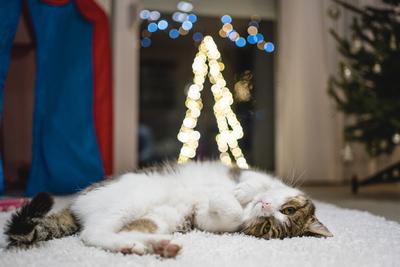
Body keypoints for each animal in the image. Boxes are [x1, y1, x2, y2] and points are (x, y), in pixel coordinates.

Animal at [4, 161, 332, 258]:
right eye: (288, 210)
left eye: (267, 227)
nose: (265, 207)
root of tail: (75, 205)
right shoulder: (247, 172)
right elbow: (249, 183)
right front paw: (239, 193)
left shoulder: (206, 221)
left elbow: (227, 216)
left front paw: (226, 202)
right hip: (134, 199)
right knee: (93, 232)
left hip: (157, 217)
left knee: (97, 233)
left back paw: (152, 246)